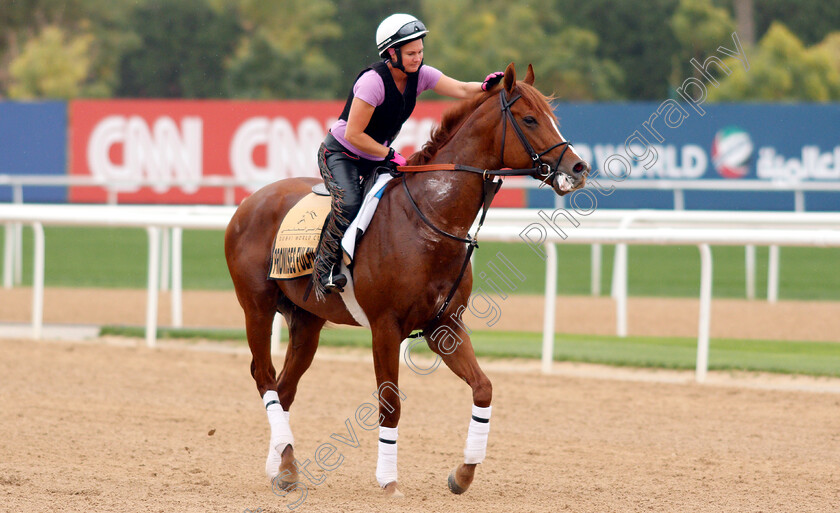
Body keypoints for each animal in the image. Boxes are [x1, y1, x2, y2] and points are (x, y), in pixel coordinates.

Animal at [226, 62, 588, 498]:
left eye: (553, 117)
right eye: (530, 118)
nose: (579, 169)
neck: (430, 220)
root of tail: (248, 202)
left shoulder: (444, 326)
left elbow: (483, 388)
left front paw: (463, 474)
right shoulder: (385, 327)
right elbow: (390, 405)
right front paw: (389, 482)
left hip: (308, 320)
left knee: (284, 388)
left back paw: (284, 466)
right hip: (257, 307)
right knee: (265, 378)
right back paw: (287, 462)